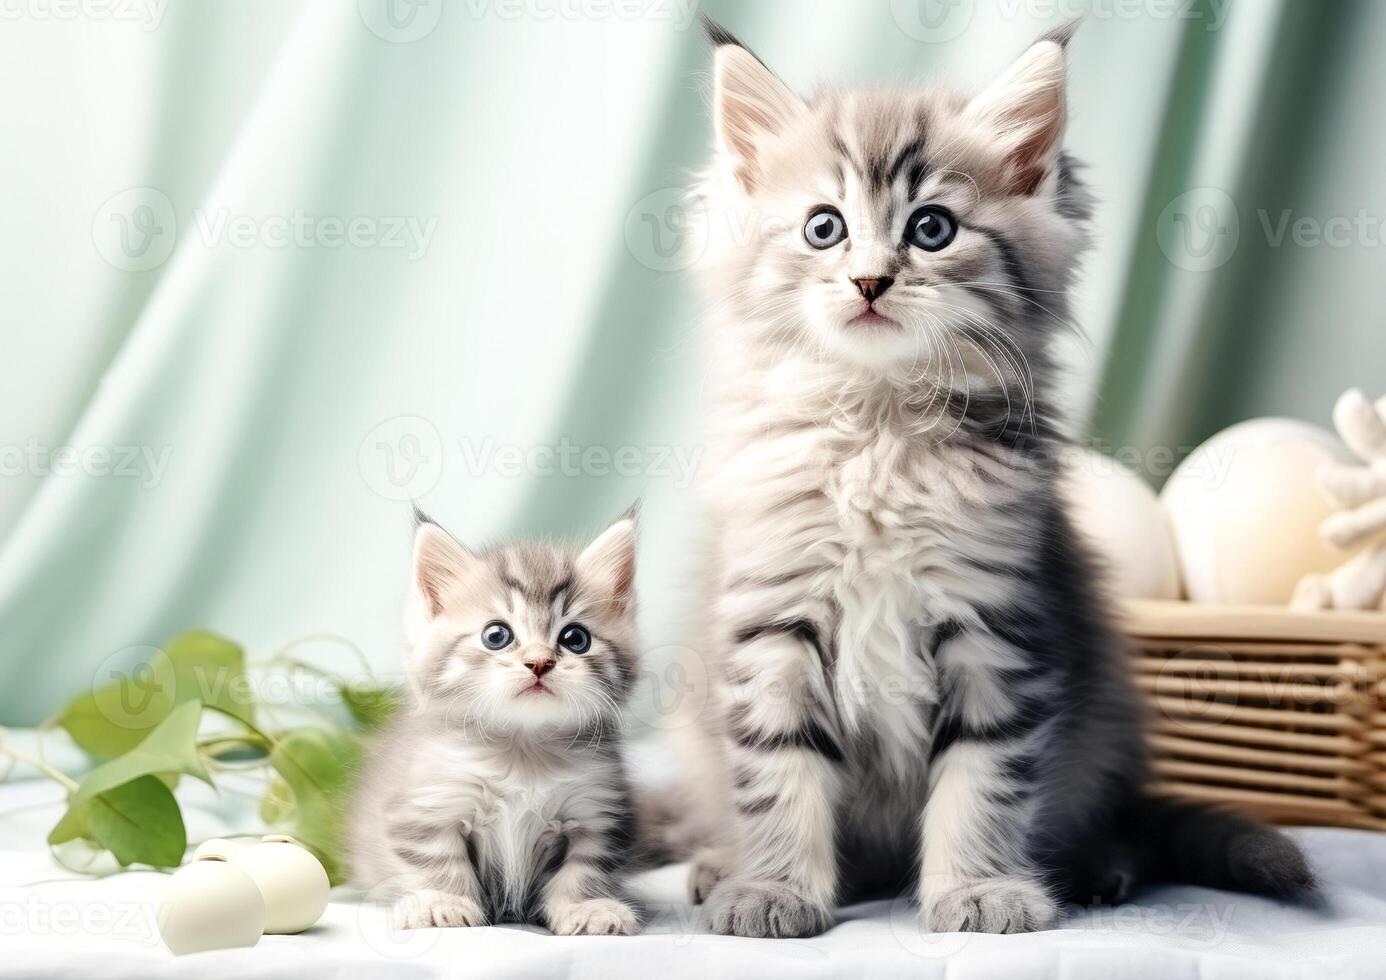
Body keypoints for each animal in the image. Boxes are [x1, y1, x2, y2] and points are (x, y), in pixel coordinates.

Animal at [352, 510, 643, 937]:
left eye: (575, 638)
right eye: (496, 635)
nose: (539, 662)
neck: (523, 749)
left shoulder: (597, 811)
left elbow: (585, 868)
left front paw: (587, 907)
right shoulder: (429, 804)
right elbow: (436, 859)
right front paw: (442, 902)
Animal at [673, 19, 1319, 942]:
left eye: (932, 228)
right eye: (824, 228)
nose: (870, 280)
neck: (880, 431)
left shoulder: (997, 625)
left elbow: (982, 778)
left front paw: (979, 890)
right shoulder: (773, 621)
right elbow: (778, 776)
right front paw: (775, 889)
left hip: (1103, 735)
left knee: (1117, 823)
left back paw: (1096, 869)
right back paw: (719, 865)